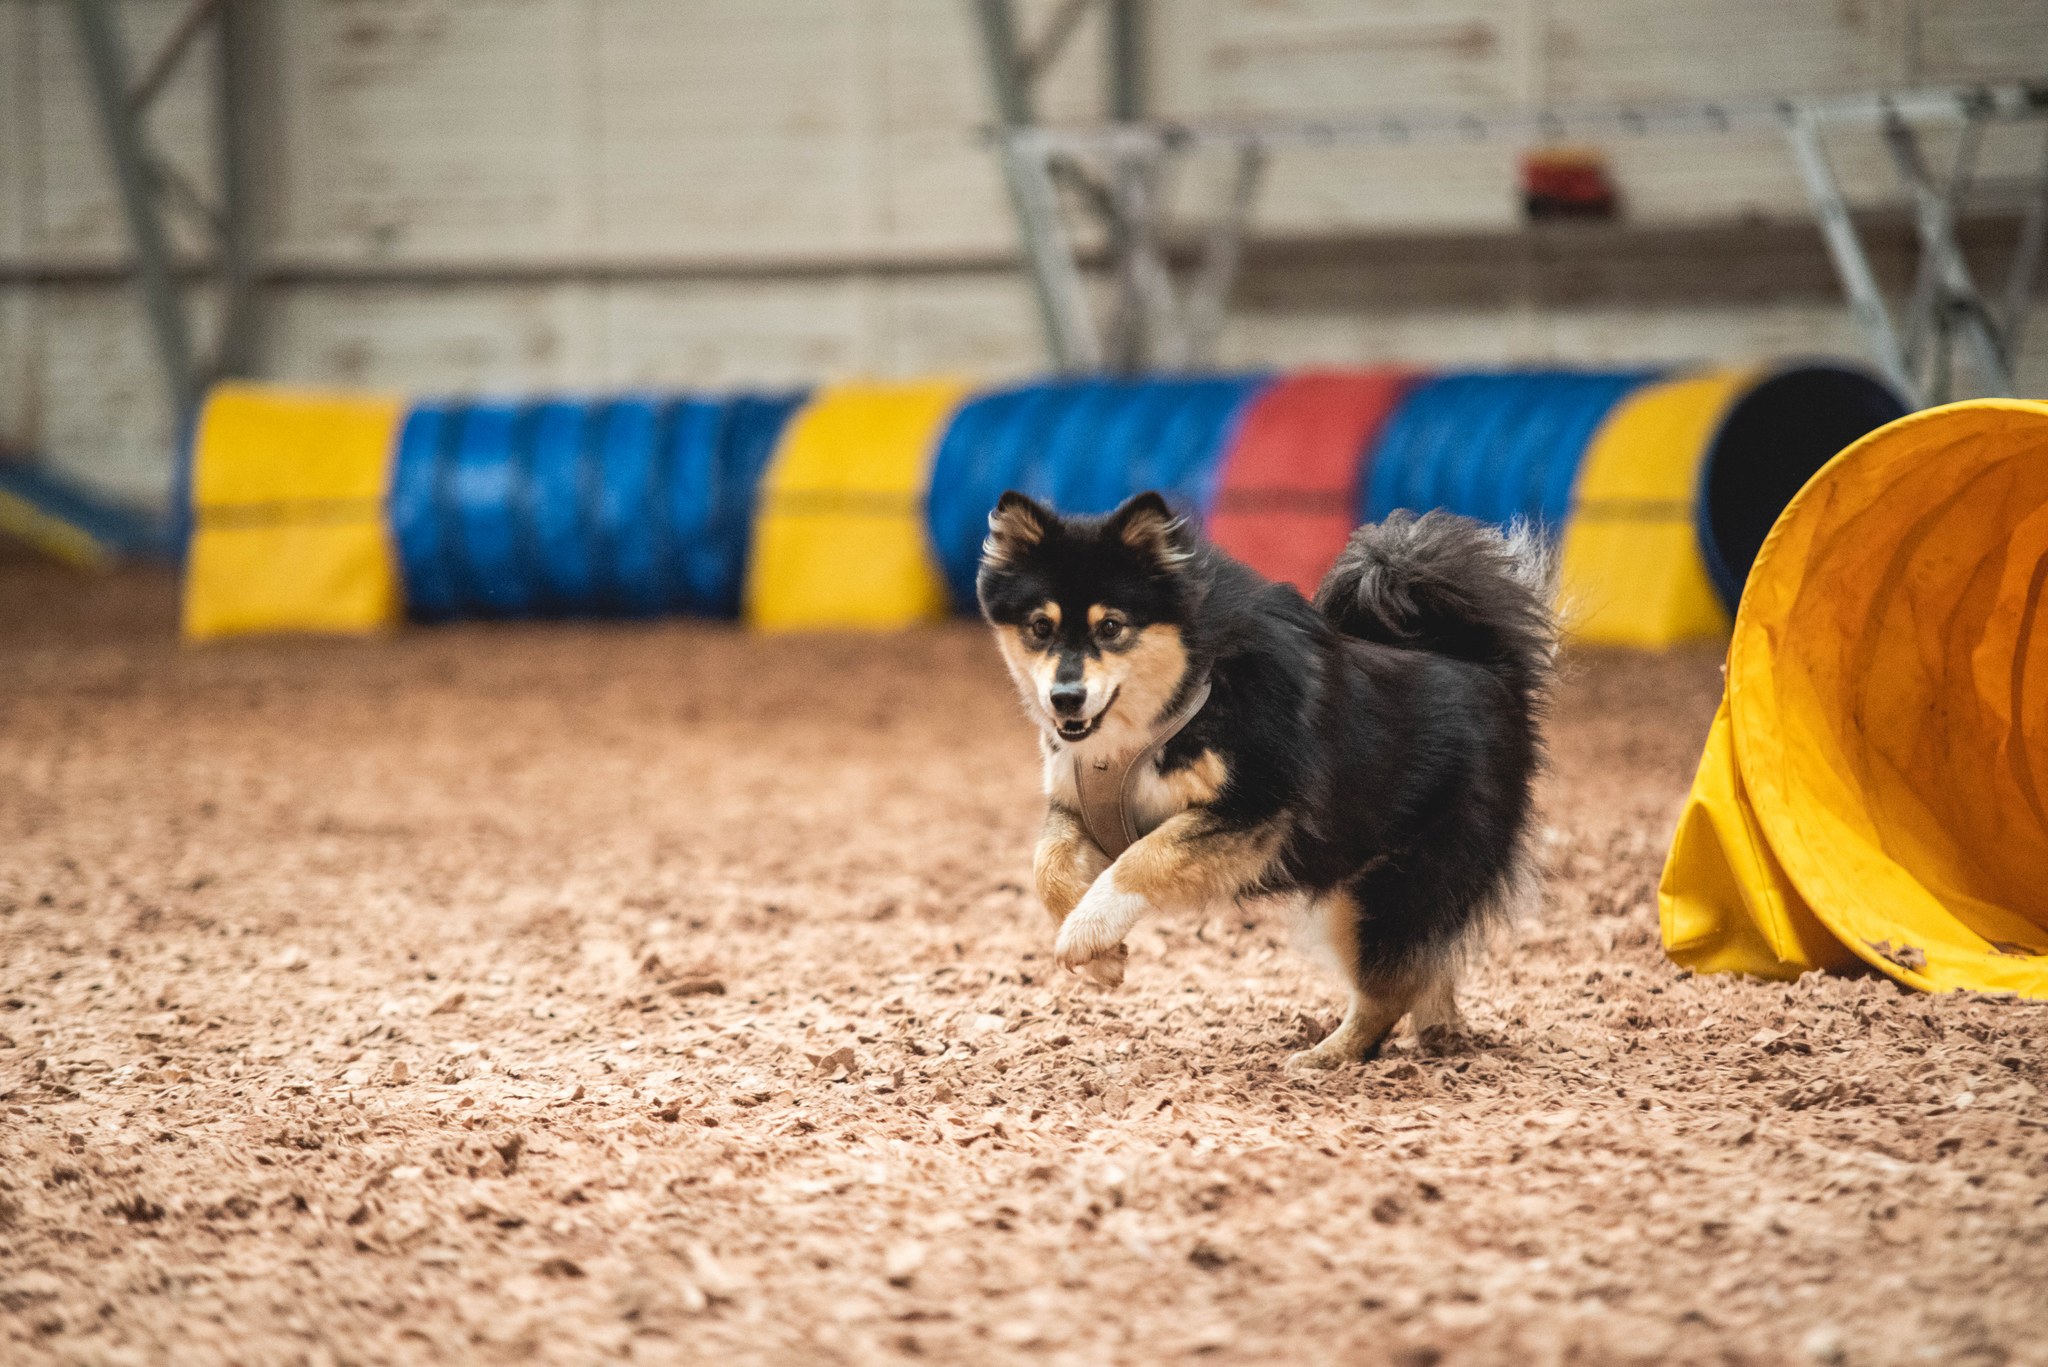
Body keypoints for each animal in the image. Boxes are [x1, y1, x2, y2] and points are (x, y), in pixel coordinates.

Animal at [974, 491, 1548, 1065]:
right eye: (1040, 627)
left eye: (1111, 627)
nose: (1065, 698)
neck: (1185, 688)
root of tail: (1490, 670)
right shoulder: (1080, 809)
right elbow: (1046, 867)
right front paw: (1102, 958)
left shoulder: (1255, 807)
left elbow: (1144, 858)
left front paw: (1087, 935)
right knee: (1428, 968)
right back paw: (1438, 1032)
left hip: (1390, 891)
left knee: (1390, 991)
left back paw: (1324, 1059)